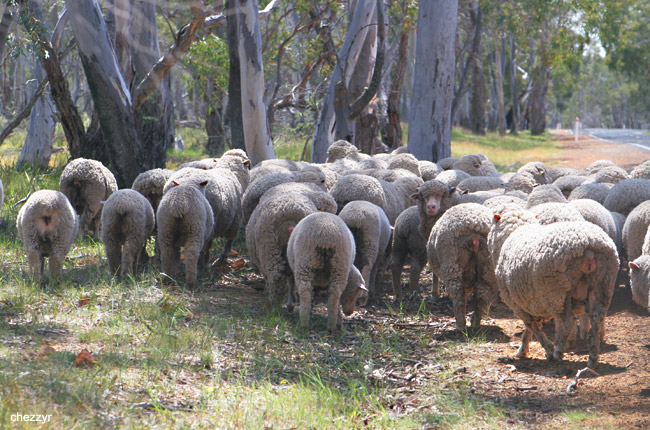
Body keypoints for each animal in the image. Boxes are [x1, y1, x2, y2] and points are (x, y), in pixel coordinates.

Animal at [486, 207, 616, 368]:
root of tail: (588, 249)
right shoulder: (529, 301)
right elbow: (529, 329)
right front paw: (523, 349)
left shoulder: (518, 304)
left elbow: (533, 327)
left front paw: (546, 349)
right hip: (603, 285)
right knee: (597, 319)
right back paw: (592, 358)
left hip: (556, 292)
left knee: (568, 320)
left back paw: (558, 351)